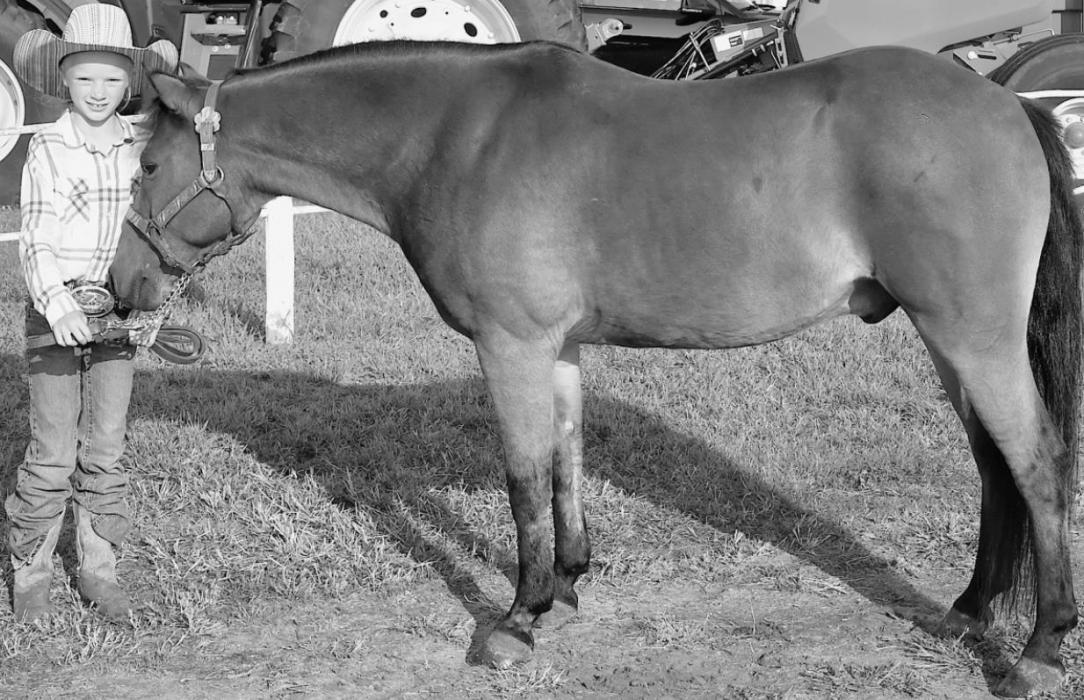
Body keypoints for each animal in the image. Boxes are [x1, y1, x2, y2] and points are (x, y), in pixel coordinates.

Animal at [108, 39, 1081, 696]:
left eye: (148, 164)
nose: (121, 288)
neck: (456, 137)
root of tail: (1006, 104)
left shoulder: (511, 344)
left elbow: (521, 478)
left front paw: (516, 619)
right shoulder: (559, 347)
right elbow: (565, 465)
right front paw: (568, 589)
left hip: (972, 335)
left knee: (1036, 465)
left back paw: (1039, 650)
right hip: (948, 340)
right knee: (994, 467)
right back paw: (969, 612)